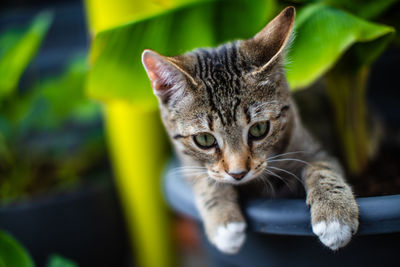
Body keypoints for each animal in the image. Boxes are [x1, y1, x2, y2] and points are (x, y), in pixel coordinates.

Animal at [141, 5, 360, 253]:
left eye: (259, 129)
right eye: (205, 140)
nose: (238, 173)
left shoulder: (312, 144)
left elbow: (322, 166)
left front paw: (334, 216)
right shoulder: (186, 162)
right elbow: (206, 180)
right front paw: (225, 224)